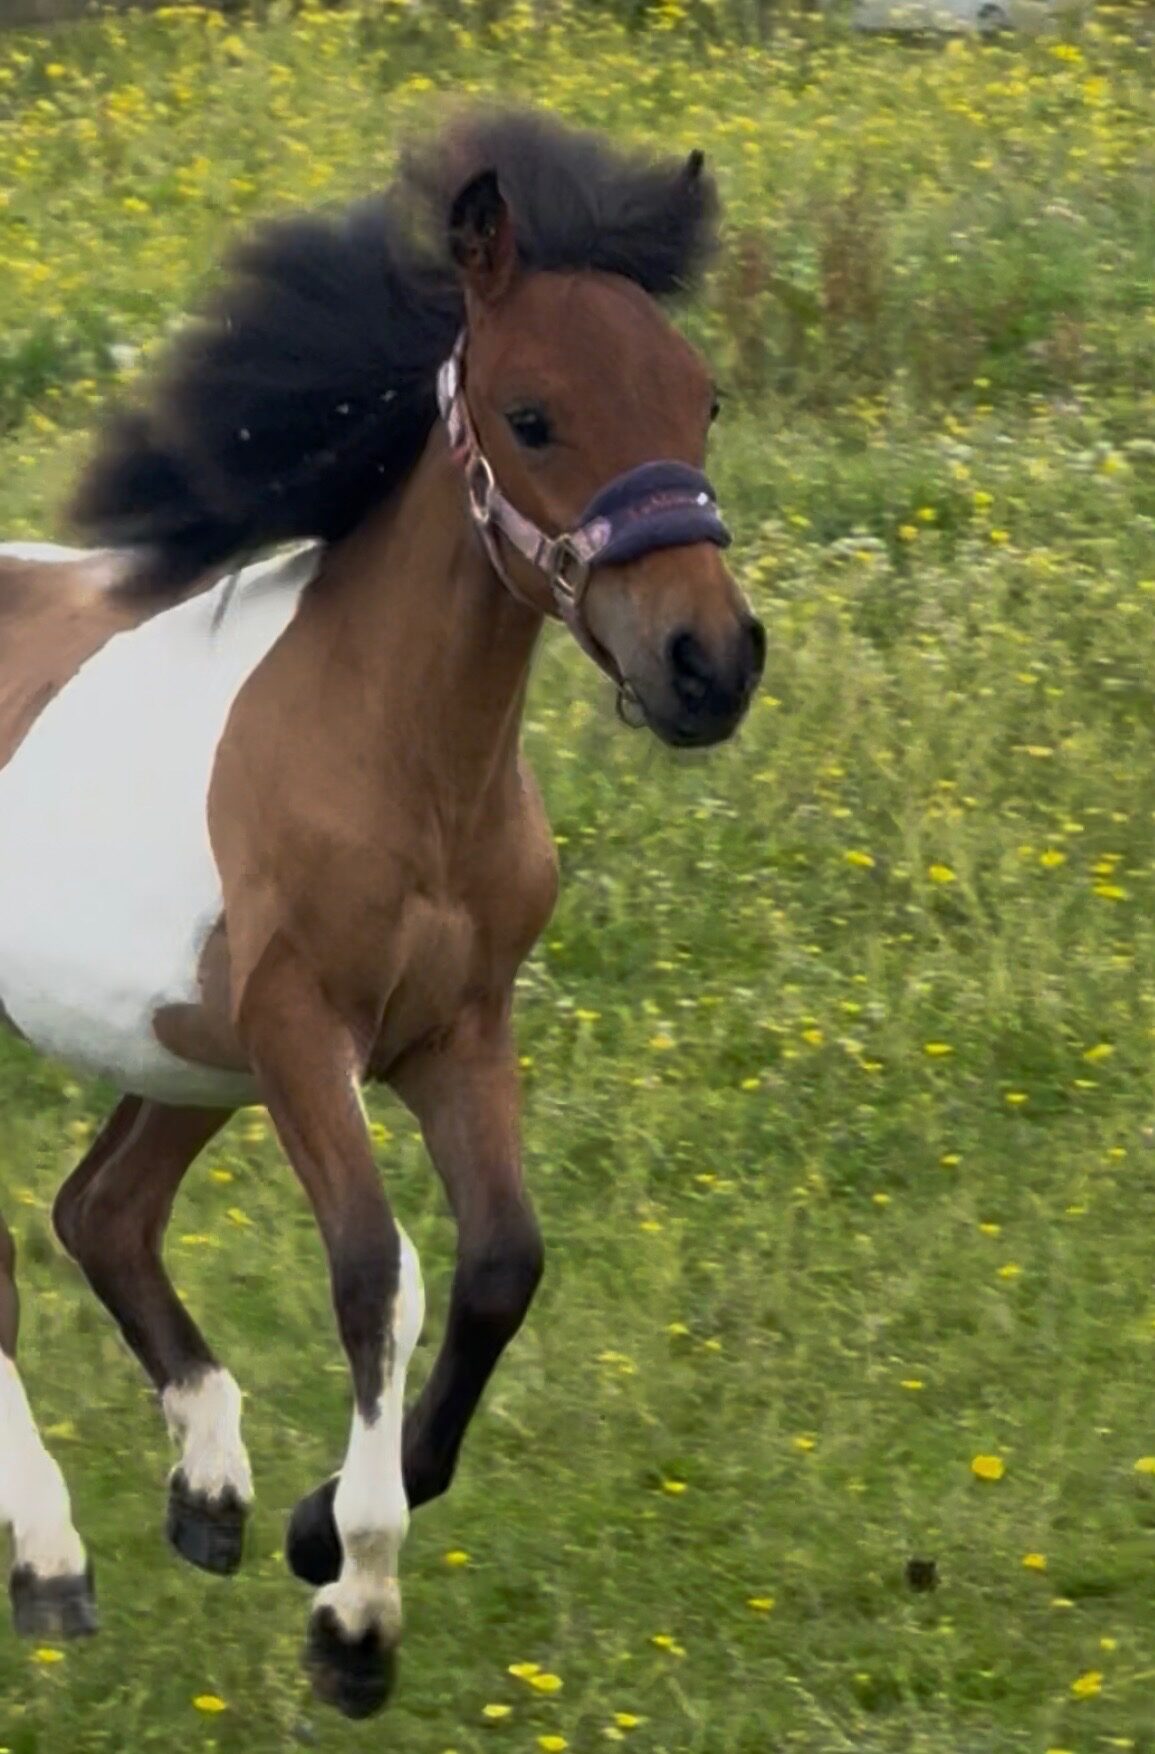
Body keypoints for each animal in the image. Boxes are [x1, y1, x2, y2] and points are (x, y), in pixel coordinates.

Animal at [0, 107, 764, 1718]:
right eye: (531, 415)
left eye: (701, 394)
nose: (708, 664)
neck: (401, 759)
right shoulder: (305, 1030)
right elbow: (374, 1272)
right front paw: (354, 1608)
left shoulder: (451, 1028)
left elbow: (499, 1264)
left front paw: (304, 1527)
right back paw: (51, 1564)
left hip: (188, 1048)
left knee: (102, 1207)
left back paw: (210, 1494)